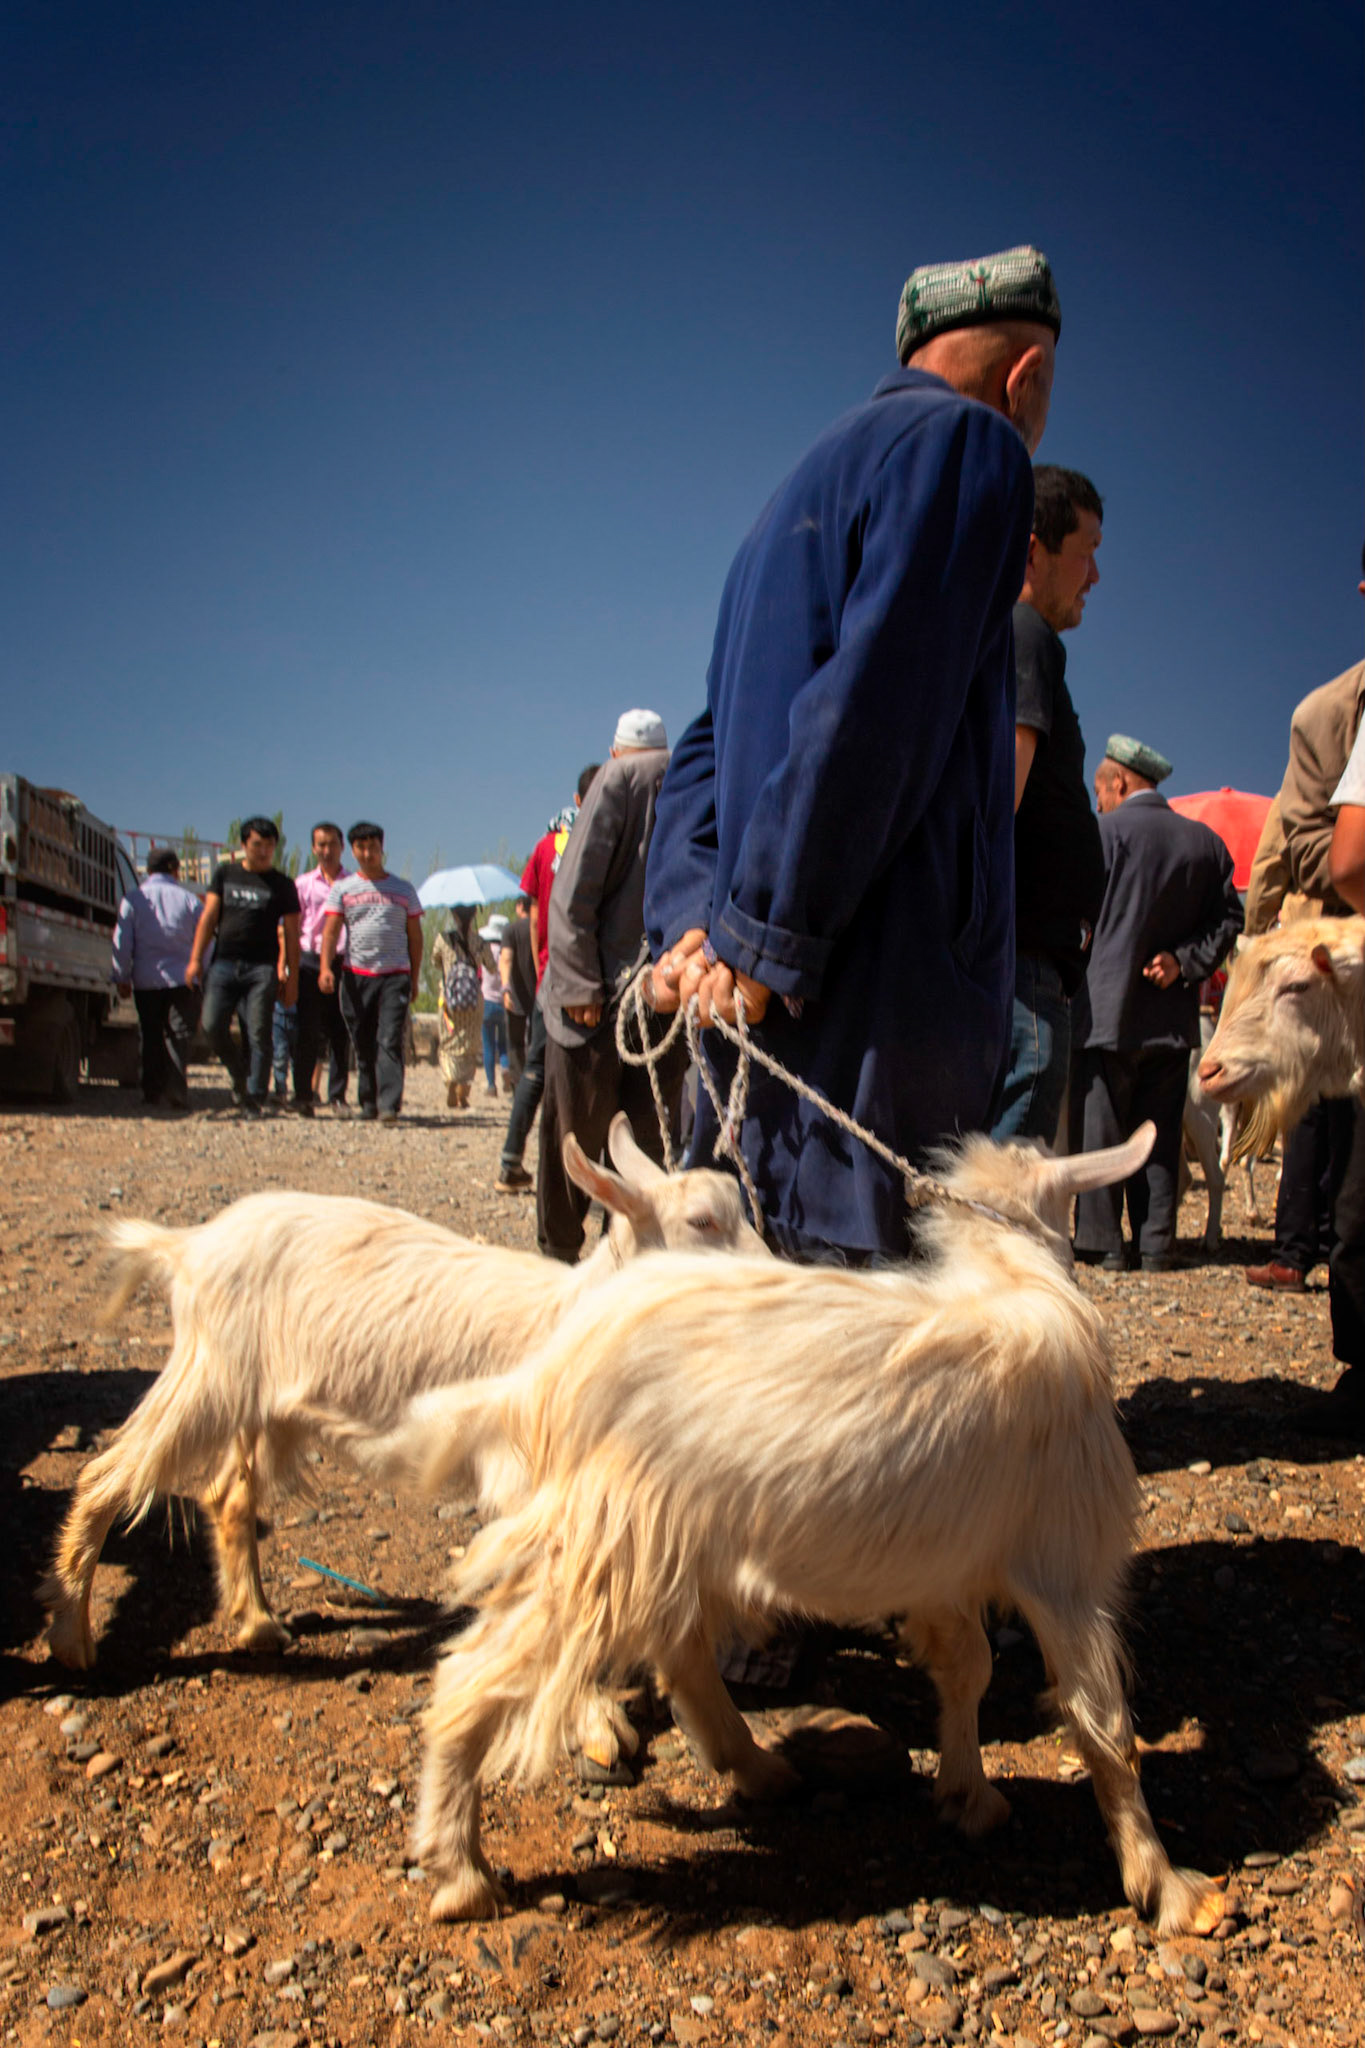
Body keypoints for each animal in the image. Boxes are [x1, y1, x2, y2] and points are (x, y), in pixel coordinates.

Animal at [41, 1116, 766, 1677]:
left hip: (265, 1403)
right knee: (106, 1474)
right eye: (702, 1221)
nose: (776, 1269)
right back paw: (73, 1638)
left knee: (227, 1497)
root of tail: (187, 1245)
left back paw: (258, 1624)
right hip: (209, 1373)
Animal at [386, 1124, 1225, 1936]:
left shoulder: (942, 1567)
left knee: (678, 1653)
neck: (1011, 1275)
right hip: (606, 1536)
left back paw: (758, 1769)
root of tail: (547, 1375)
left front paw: (967, 1795)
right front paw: (1167, 1887)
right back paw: (459, 1870)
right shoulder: (1063, 1557)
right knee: (471, 1678)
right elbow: (1103, 1723)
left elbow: (966, 1668)